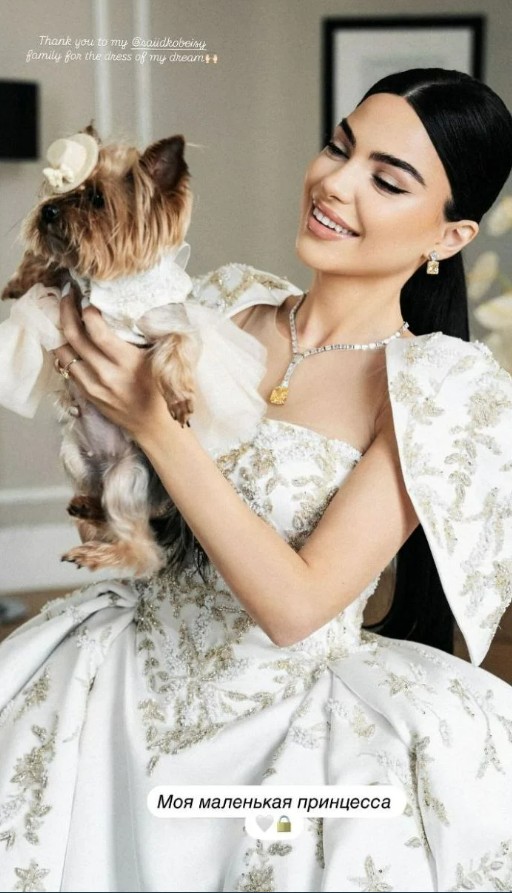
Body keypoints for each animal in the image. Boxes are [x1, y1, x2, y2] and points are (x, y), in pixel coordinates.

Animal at [0, 126, 266, 575]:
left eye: (96, 200)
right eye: (59, 192)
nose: (48, 211)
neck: (106, 283)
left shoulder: (169, 322)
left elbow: (175, 350)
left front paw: (178, 398)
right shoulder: (67, 280)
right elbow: (49, 266)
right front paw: (20, 280)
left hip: (128, 477)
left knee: (142, 548)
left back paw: (96, 550)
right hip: (74, 455)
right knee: (106, 513)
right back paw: (87, 508)